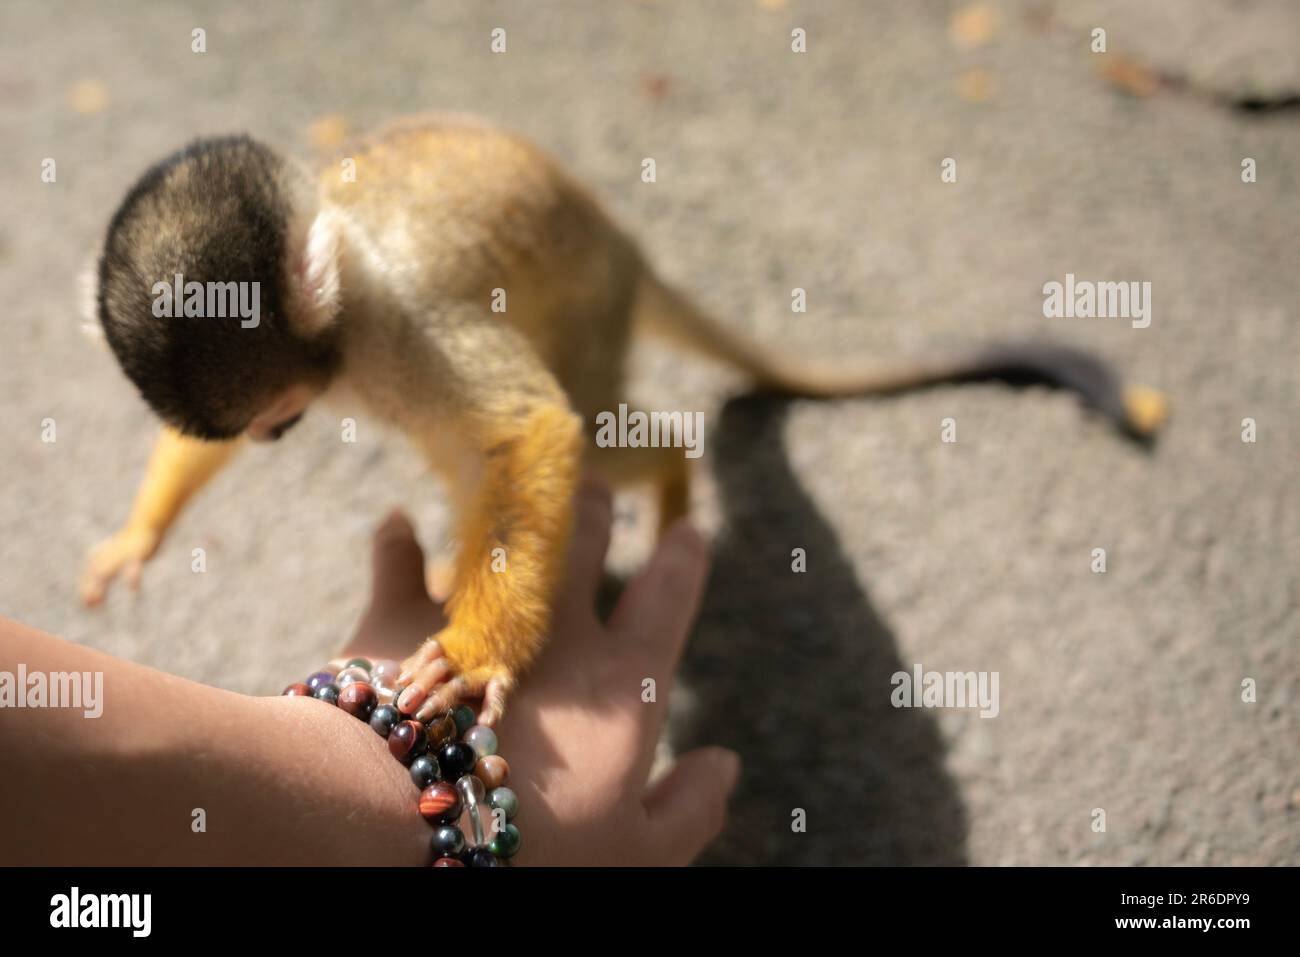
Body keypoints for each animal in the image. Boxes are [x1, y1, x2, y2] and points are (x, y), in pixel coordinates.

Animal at [81, 115, 1170, 722]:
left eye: (278, 413)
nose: (273, 437)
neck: (341, 295)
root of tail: (624, 242)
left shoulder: (399, 326)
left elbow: (531, 431)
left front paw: (473, 659)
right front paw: (141, 531)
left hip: (590, 318)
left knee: (587, 432)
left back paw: (674, 485)